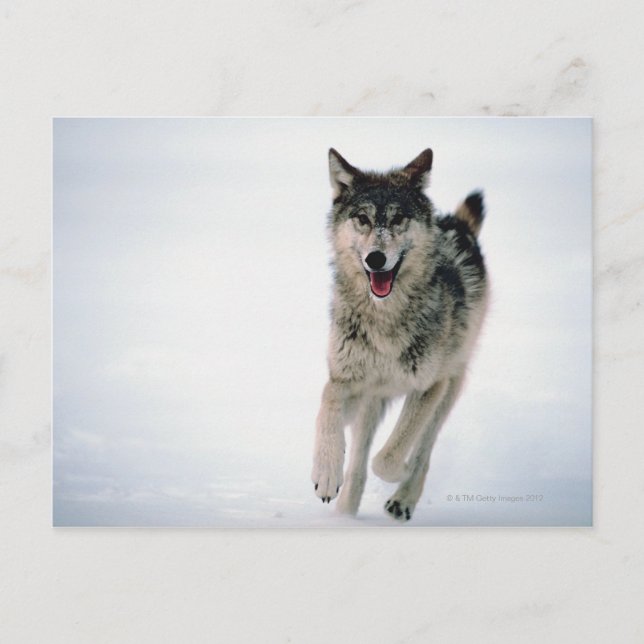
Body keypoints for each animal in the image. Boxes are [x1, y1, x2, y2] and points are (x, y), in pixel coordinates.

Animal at [311, 148, 488, 522]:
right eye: (362, 219)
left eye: (398, 219)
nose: (376, 258)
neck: (385, 320)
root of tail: (458, 223)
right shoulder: (347, 381)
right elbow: (327, 403)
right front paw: (326, 472)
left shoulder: (429, 387)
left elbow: (390, 457)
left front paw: (401, 471)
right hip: (372, 404)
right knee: (359, 464)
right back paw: (345, 515)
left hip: (448, 389)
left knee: (424, 449)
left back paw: (403, 497)